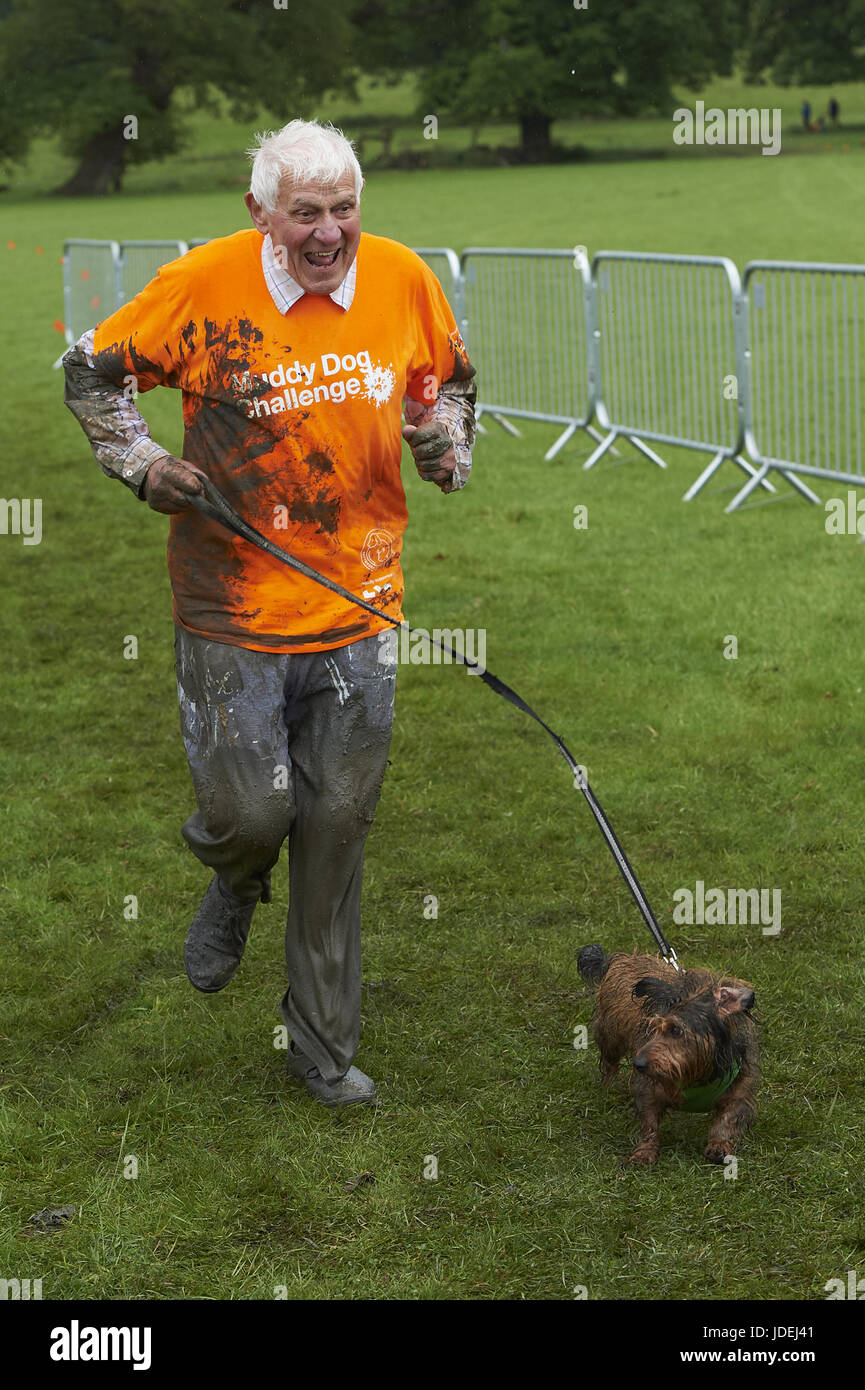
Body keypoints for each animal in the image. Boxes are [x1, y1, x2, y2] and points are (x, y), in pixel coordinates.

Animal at [584, 945, 756, 1162]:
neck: (696, 1073)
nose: (638, 1064)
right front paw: (644, 1152)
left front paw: (719, 1146)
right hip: (610, 1035)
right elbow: (649, 1122)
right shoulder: (649, 1087)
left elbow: (727, 1120)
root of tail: (621, 957)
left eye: (676, 1030)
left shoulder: (739, 1088)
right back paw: (610, 1085)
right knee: (609, 1063)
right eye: (652, 1028)